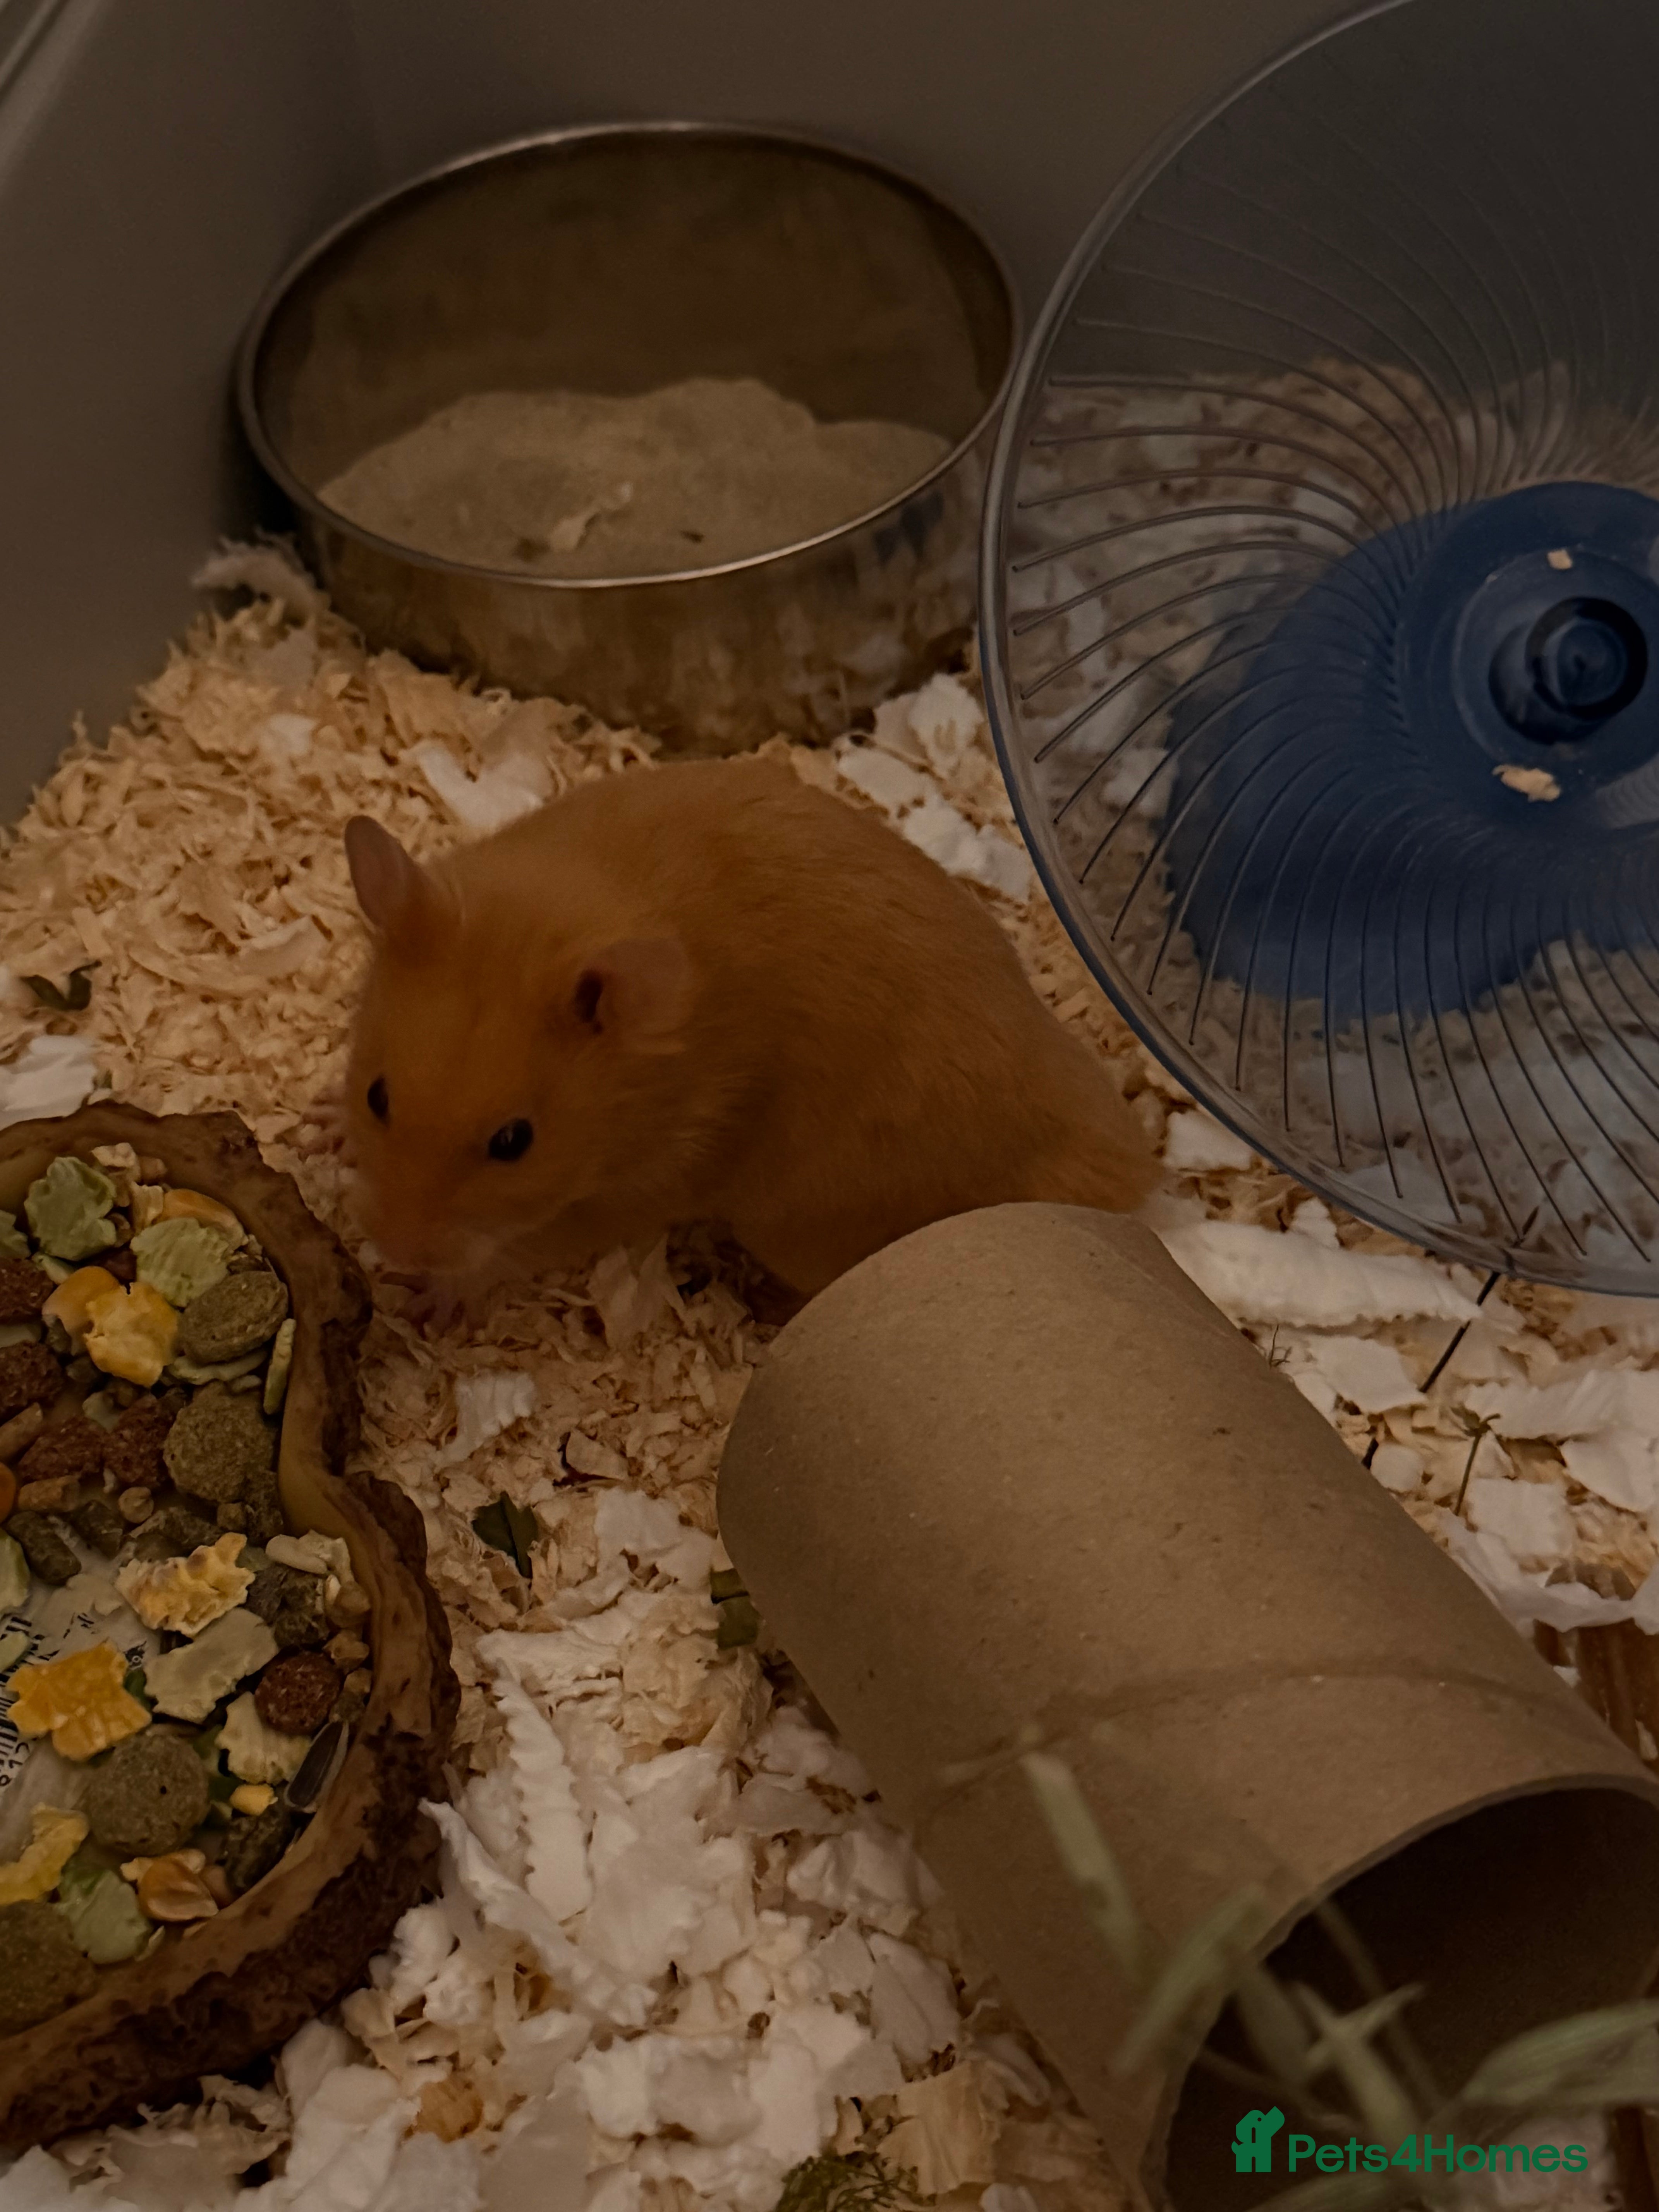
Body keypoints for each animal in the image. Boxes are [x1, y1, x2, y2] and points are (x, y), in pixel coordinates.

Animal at [343, 755, 1159, 1303]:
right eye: (377, 1096)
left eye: (514, 1142)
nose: (395, 1251)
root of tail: (1121, 1165)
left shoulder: (649, 1181)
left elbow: (526, 1247)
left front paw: (431, 1301)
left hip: (801, 1225)